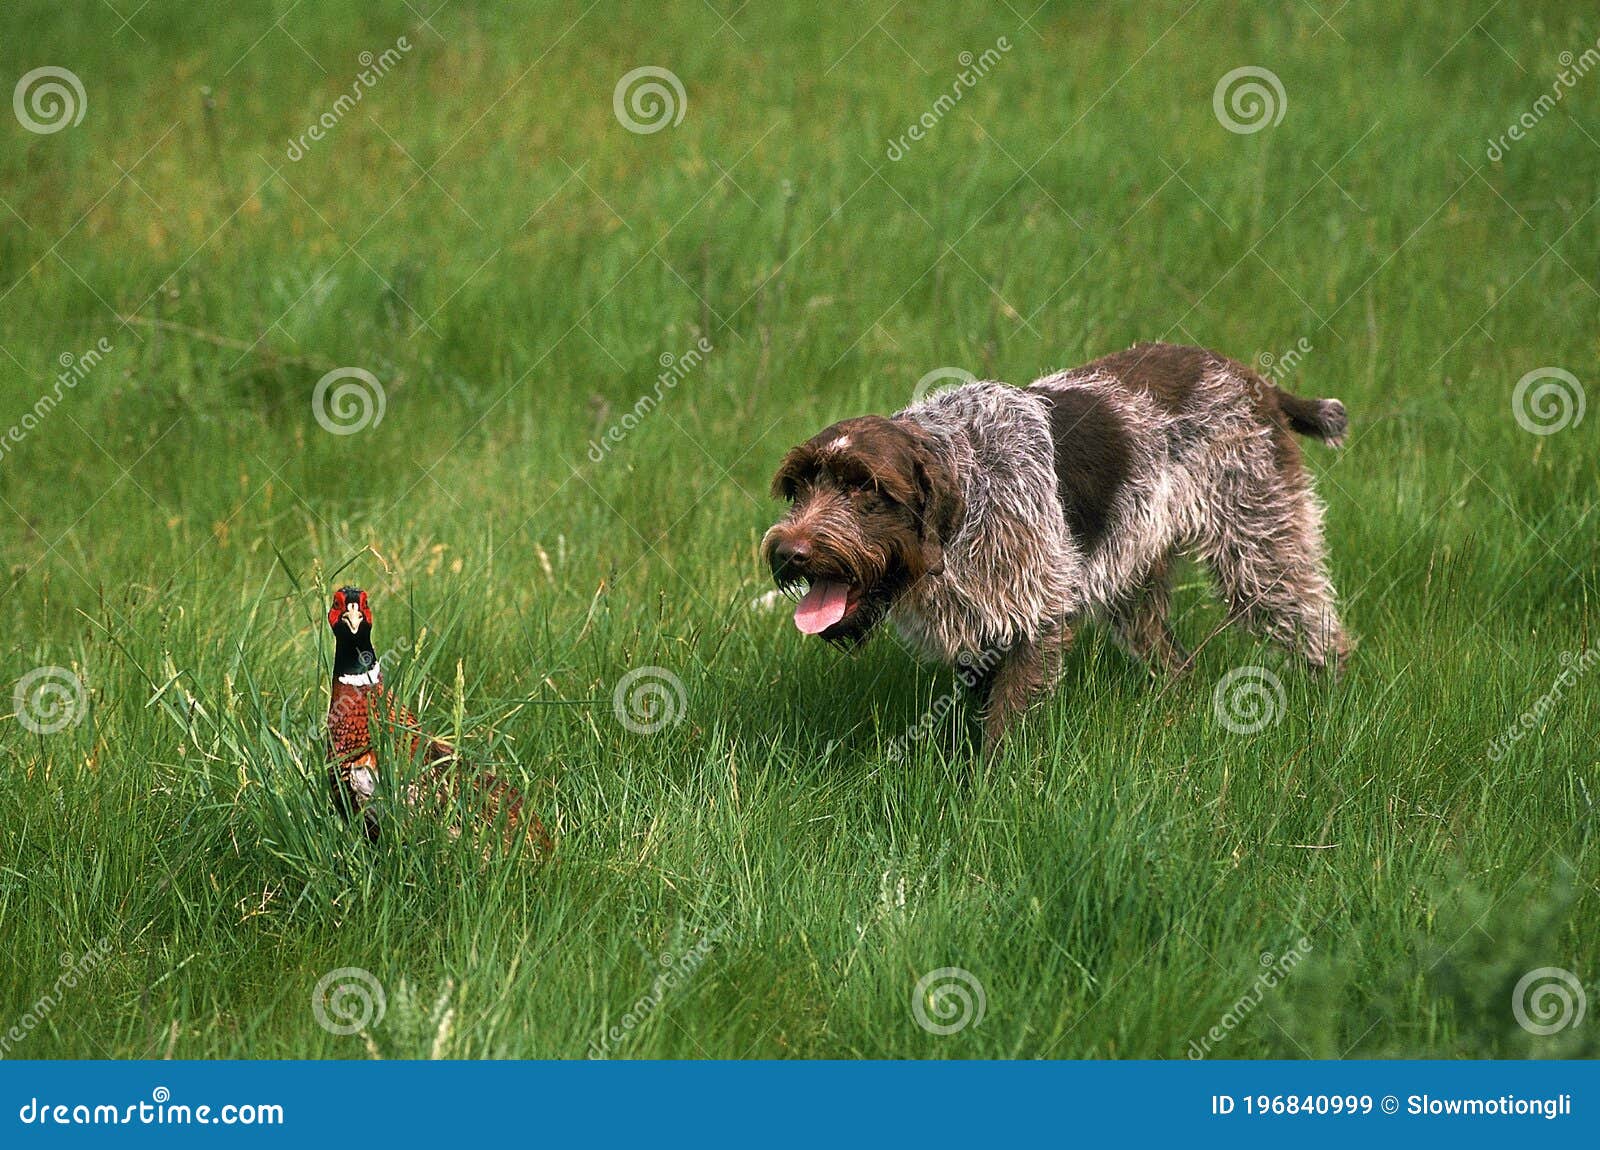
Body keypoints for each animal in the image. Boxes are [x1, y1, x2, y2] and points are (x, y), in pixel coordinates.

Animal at [761, 342, 1350, 751]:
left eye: (864, 486)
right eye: (799, 487)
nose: (789, 553)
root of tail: (1258, 383)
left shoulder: (1034, 621)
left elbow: (1003, 731)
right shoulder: (985, 631)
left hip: (1260, 548)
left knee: (1319, 631)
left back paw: (1330, 703)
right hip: (1135, 578)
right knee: (1176, 662)